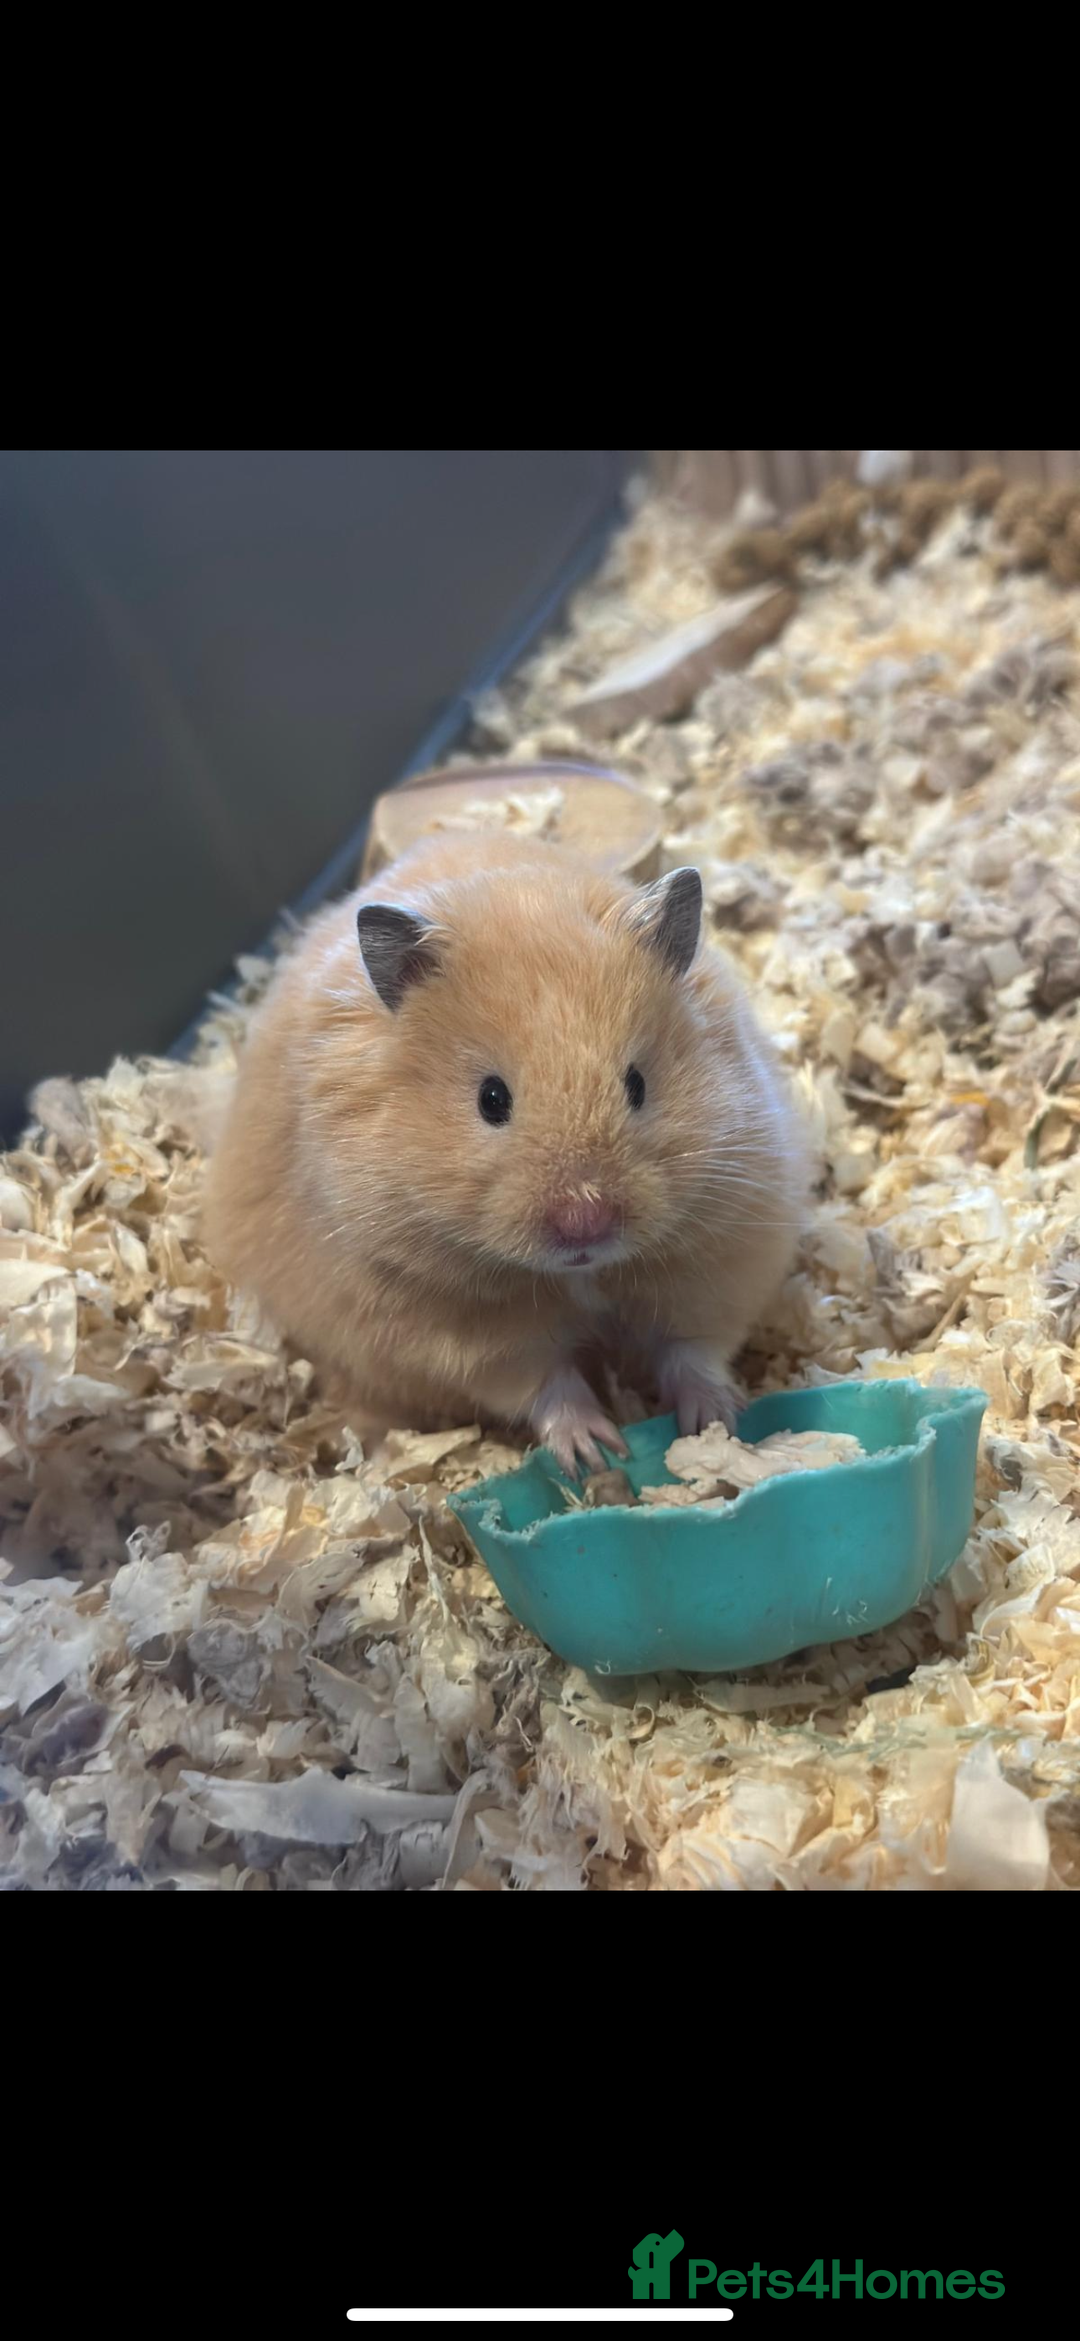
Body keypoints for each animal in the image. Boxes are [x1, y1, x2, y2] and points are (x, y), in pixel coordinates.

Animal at [204, 832, 806, 1475]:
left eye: (637, 1084)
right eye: (491, 1099)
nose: (586, 1224)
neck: (580, 1276)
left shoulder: (724, 1251)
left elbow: (693, 1349)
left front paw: (716, 1423)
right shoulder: (447, 1328)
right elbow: (543, 1382)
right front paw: (595, 1451)